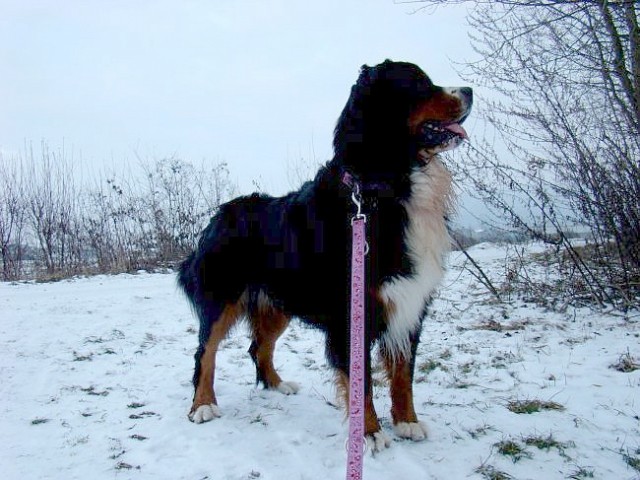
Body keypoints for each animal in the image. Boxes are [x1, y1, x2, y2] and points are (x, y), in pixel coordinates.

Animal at [178, 59, 472, 450]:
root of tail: (217, 215)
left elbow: (402, 372)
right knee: (205, 351)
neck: (383, 189)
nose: (470, 91)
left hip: (278, 303)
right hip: (221, 297)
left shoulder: (409, 304)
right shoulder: (351, 312)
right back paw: (203, 405)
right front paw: (370, 434)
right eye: (420, 84)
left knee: (259, 346)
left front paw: (407, 422)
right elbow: (362, 382)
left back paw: (277, 385)